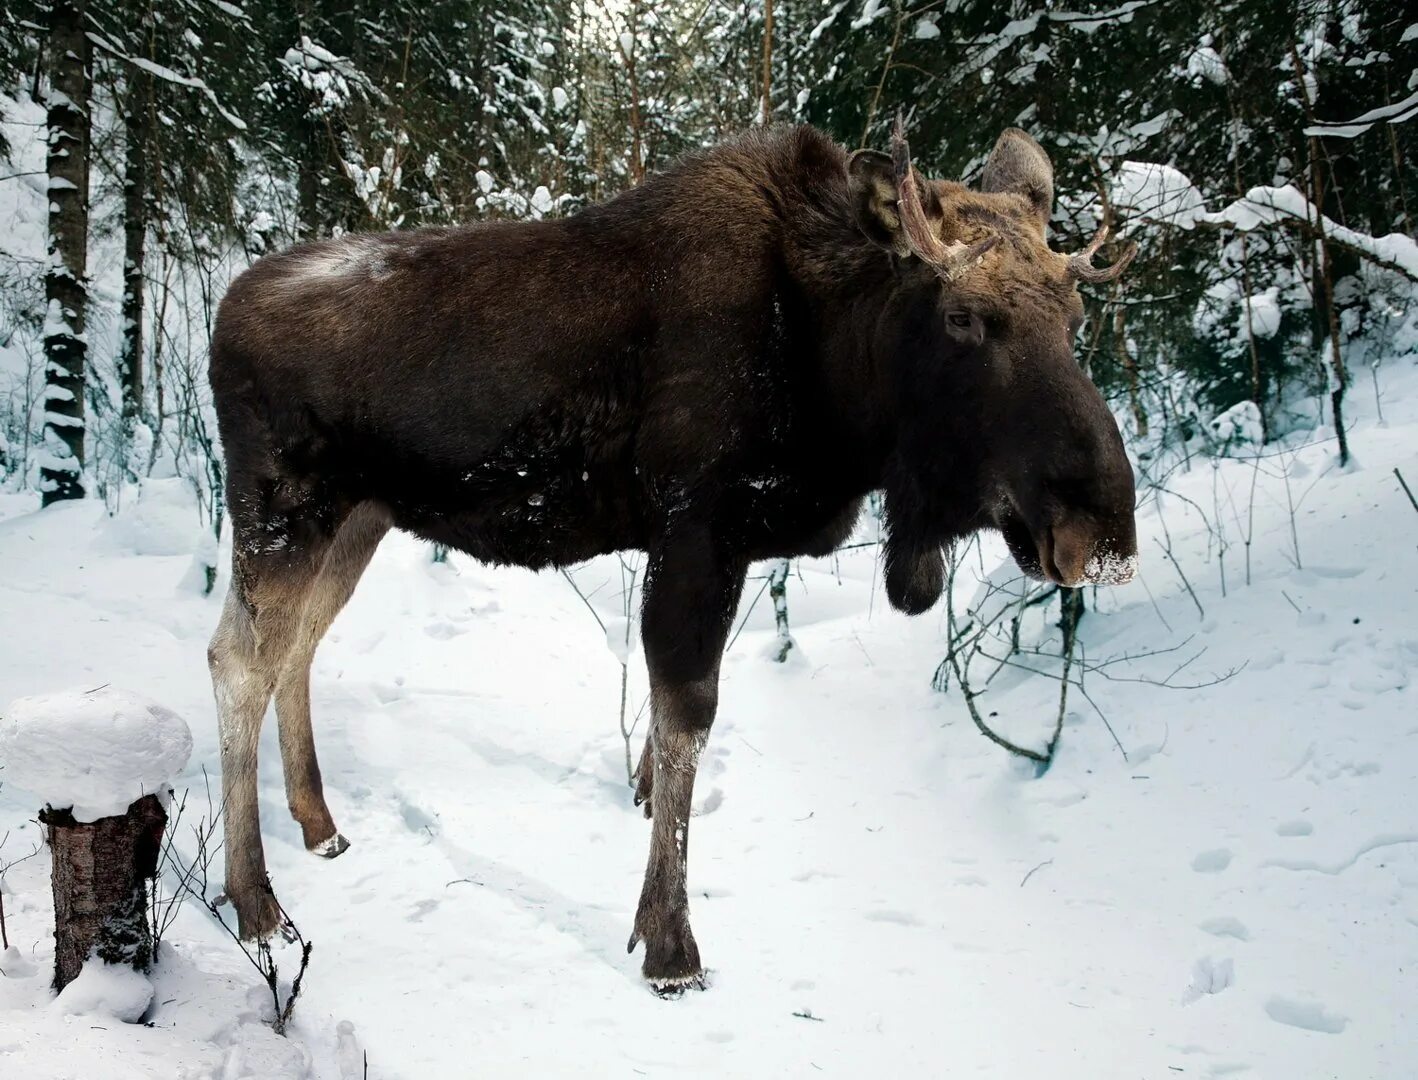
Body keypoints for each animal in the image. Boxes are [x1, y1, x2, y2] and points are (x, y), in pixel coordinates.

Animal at [207, 115, 1140, 986]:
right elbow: (689, 716)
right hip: (283, 509)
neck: (835, 361)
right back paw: (255, 901)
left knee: (298, 648)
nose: (1100, 534)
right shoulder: (698, 526)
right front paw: (670, 942)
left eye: (1075, 316)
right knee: (237, 660)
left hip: (357, 518)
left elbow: (665, 749)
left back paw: (319, 825)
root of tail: (219, 319)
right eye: (961, 316)